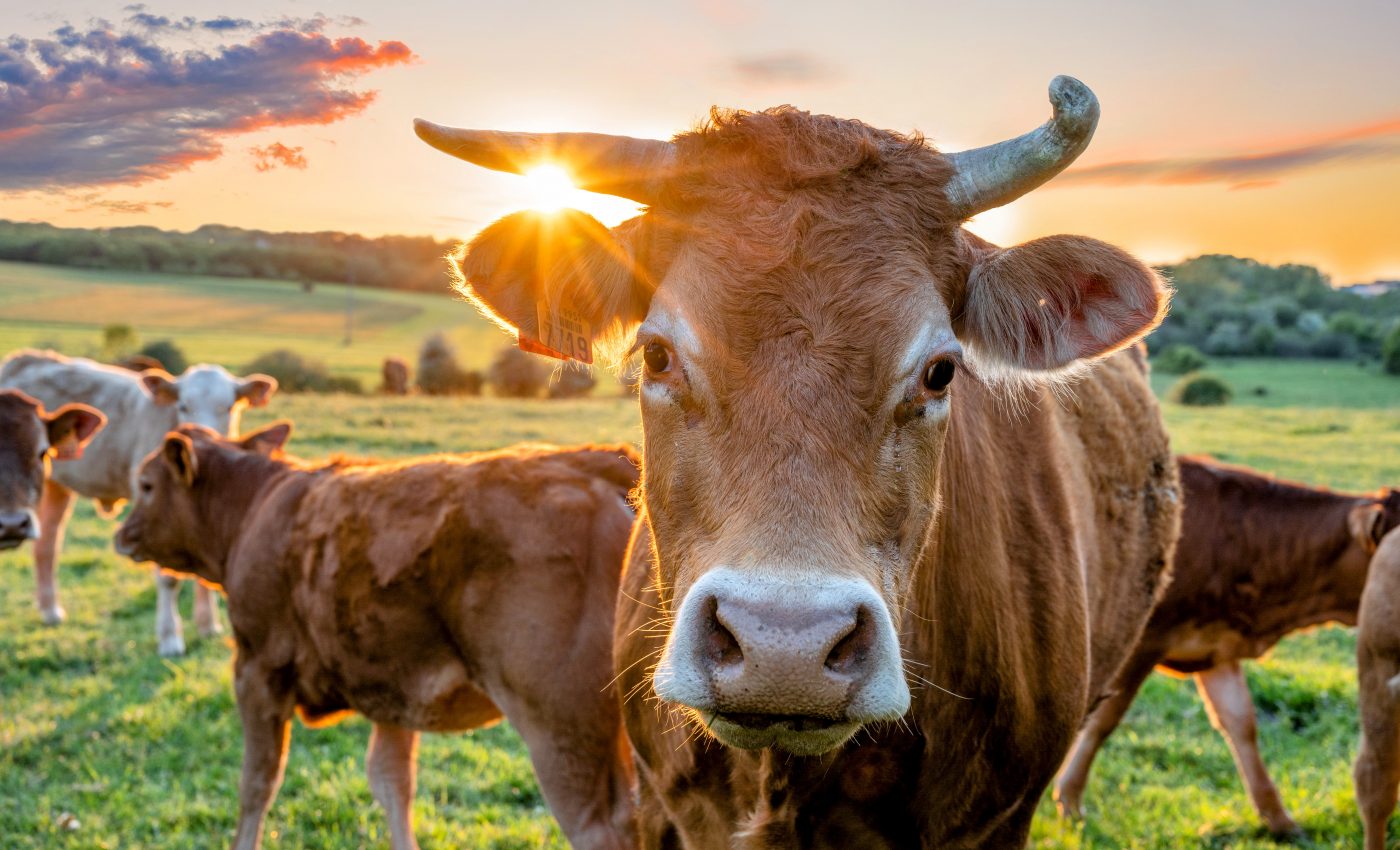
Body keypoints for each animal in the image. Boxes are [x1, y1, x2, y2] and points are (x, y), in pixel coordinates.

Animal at [113, 424, 640, 850]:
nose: (121, 533)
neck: (254, 509)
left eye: (146, 485)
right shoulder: (394, 687)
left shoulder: (257, 670)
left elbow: (256, 783)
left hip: (562, 731)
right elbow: (392, 783)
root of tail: (596, 463)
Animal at [1054, 456, 1400, 836]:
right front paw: (1070, 800)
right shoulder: (1143, 642)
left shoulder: (1215, 648)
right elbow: (1103, 720)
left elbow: (1241, 724)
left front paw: (1278, 818)